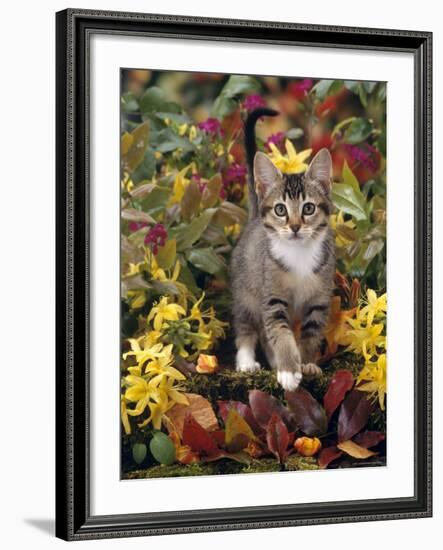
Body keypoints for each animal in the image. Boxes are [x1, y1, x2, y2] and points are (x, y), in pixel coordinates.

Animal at [232, 108, 336, 392]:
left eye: (308, 208)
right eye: (280, 209)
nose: (295, 226)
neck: (299, 253)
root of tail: (253, 219)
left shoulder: (319, 301)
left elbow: (310, 334)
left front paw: (306, 363)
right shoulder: (272, 298)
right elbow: (280, 332)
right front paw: (289, 369)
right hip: (245, 291)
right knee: (247, 327)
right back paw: (247, 361)